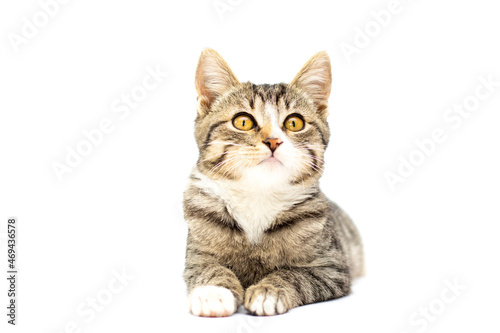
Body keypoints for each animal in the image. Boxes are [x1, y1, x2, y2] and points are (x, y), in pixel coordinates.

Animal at [184, 49, 364, 316]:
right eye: (243, 121)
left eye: (294, 123)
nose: (273, 141)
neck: (258, 196)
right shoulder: (197, 254)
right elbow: (208, 268)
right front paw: (213, 292)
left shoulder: (332, 266)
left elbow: (295, 274)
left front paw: (268, 291)